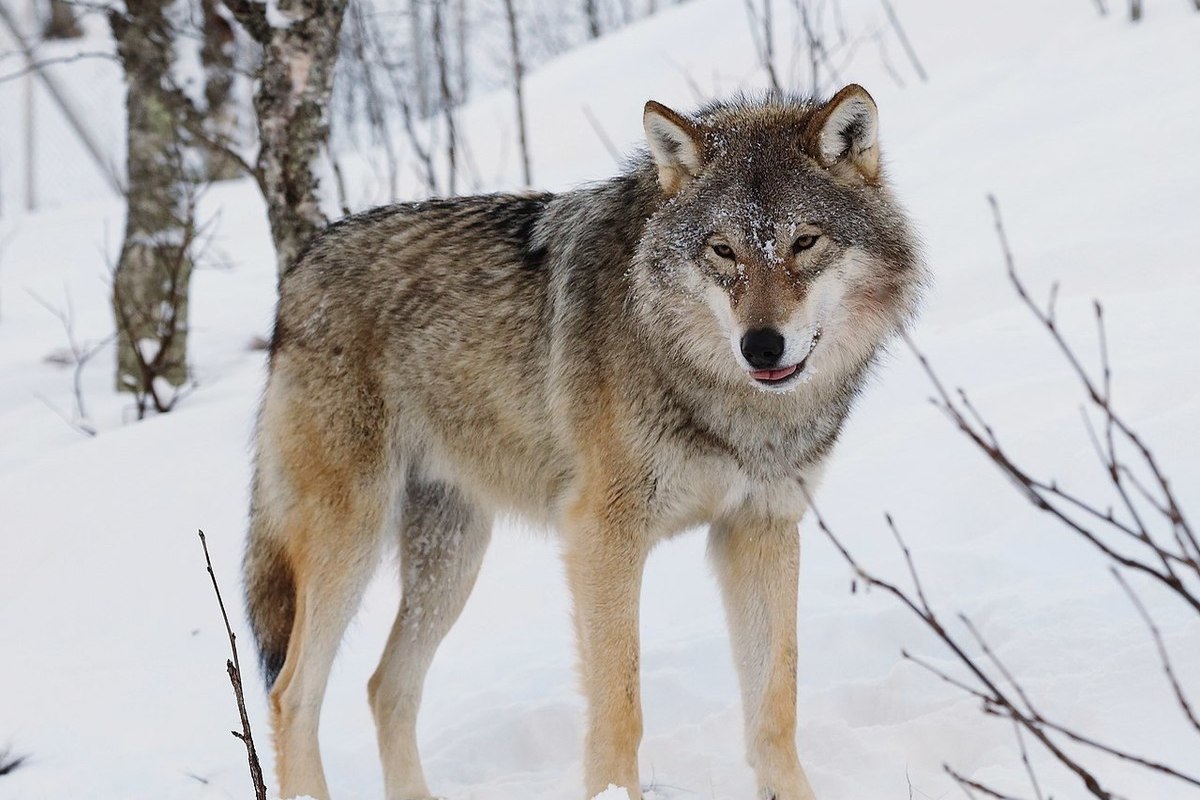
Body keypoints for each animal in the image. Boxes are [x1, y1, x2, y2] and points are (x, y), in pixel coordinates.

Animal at [248, 82, 926, 800]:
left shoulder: (761, 526)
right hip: (350, 543)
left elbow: (776, 703)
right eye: (722, 251)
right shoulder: (602, 535)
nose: (762, 346)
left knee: (386, 688)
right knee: (292, 694)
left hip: (451, 559)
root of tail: (300, 269)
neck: (723, 398)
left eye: (804, 242)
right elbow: (621, 709)